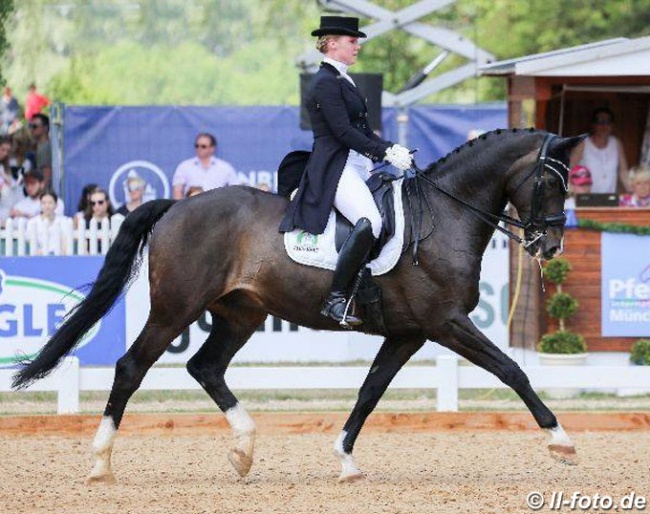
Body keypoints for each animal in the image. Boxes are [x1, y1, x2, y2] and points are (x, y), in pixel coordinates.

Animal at [12, 127, 584, 480]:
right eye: (550, 181)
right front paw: (560, 441)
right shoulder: (446, 323)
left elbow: (370, 391)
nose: (551, 247)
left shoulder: (409, 332)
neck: (445, 215)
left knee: (205, 367)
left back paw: (243, 450)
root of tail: (178, 205)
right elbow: (512, 370)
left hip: (241, 313)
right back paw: (101, 463)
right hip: (175, 308)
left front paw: (346, 461)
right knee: (132, 367)